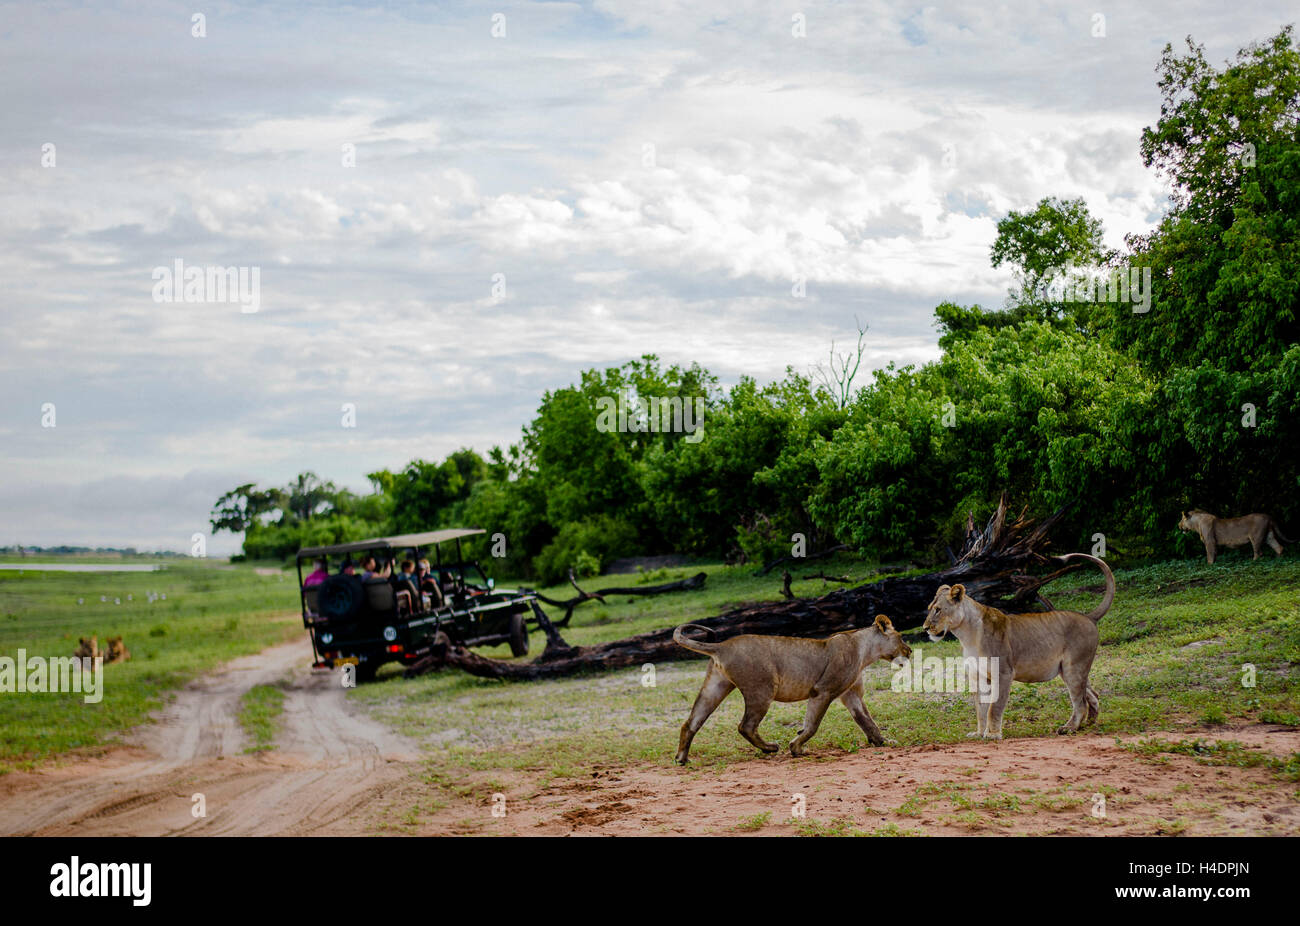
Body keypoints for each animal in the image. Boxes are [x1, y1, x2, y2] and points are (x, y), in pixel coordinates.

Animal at [672, 614, 912, 764]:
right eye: (901, 637)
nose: (910, 651)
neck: (865, 650)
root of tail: (721, 646)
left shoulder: (851, 695)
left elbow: (867, 721)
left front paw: (883, 742)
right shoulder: (822, 691)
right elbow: (812, 725)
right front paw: (796, 747)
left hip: (716, 687)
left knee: (691, 723)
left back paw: (682, 759)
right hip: (762, 689)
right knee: (745, 726)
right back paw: (769, 748)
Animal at [922, 552, 1115, 740]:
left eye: (938, 610)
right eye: (930, 608)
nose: (925, 628)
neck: (966, 635)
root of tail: (1089, 617)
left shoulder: (1003, 673)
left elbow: (994, 707)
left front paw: (992, 734)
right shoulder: (979, 676)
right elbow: (980, 709)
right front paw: (978, 733)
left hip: (1073, 668)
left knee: (1080, 702)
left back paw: (1069, 728)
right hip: (1071, 671)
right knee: (1093, 695)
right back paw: (1088, 724)